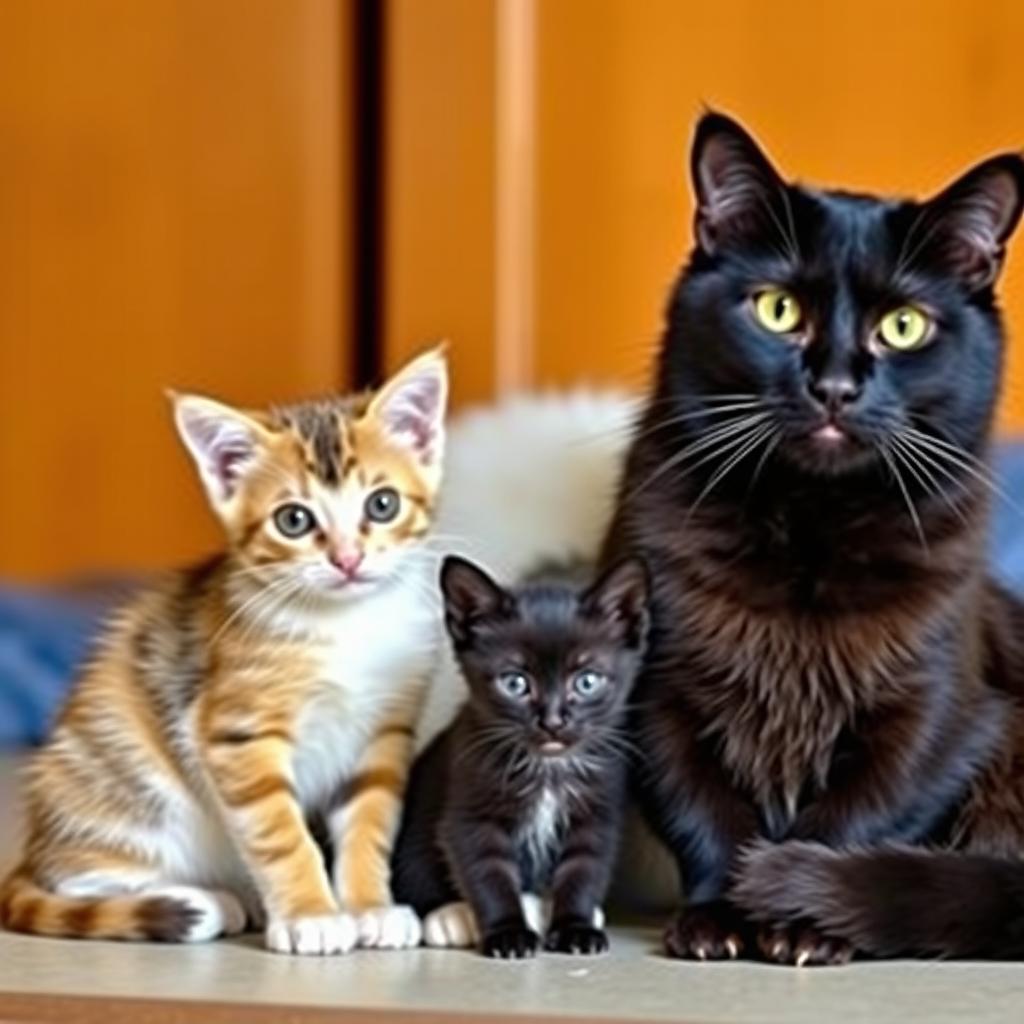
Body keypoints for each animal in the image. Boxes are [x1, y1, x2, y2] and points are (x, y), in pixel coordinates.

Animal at [1, 348, 448, 954]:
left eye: (383, 505)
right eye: (294, 519)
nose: (348, 559)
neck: (347, 624)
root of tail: (33, 849)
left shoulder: (383, 732)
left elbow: (370, 823)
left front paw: (368, 907)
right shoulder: (236, 732)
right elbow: (281, 833)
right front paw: (311, 915)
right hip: (132, 793)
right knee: (80, 881)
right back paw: (201, 902)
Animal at [391, 557, 647, 954]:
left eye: (587, 681)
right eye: (515, 683)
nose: (553, 722)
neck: (548, 767)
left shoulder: (596, 811)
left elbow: (584, 869)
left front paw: (576, 926)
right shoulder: (471, 809)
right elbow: (487, 872)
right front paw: (507, 933)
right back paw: (449, 916)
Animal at [598, 116, 1024, 962]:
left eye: (903, 326)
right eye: (777, 310)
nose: (833, 386)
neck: (809, 524)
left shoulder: (942, 712)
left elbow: (866, 808)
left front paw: (797, 917)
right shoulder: (657, 691)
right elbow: (703, 812)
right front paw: (720, 917)